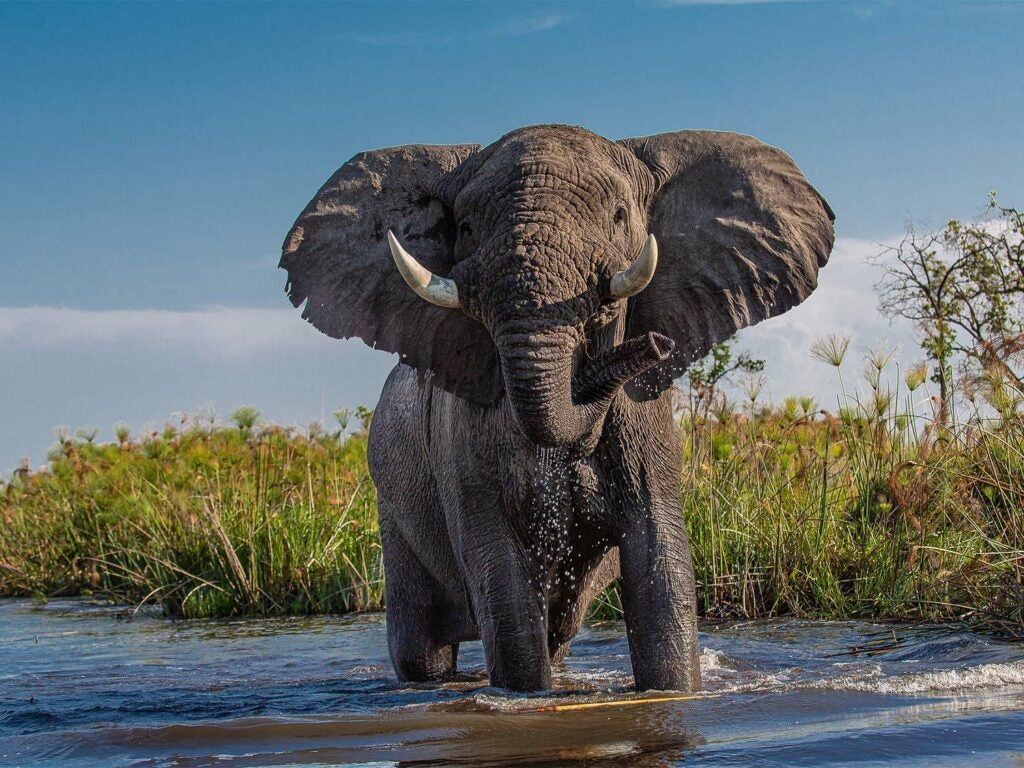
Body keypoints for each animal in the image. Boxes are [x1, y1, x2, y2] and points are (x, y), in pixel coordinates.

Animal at [280, 124, 834, 692]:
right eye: (466, 227)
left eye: (619, 216)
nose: (656, 345)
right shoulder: (462, 440)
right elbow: (501, 578)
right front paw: (525, 698)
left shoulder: (648, 426)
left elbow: (661, 565)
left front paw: (672, 692)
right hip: (393, 503)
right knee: (422, 650)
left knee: (556, 635)